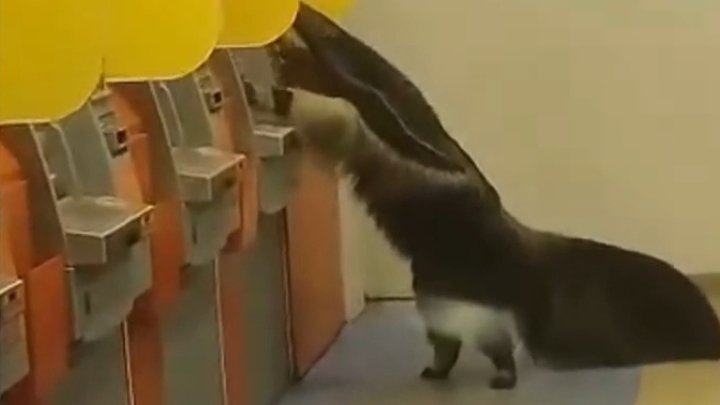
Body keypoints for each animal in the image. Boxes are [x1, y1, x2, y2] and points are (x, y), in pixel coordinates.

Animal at [269, 3, 720, 390]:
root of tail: (519, 249)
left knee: (475, 332)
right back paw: (441, 369)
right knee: (448, 330)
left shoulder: (360, 106)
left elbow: (327, 105)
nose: (280, 48)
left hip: (462, 275)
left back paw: (497, 373)